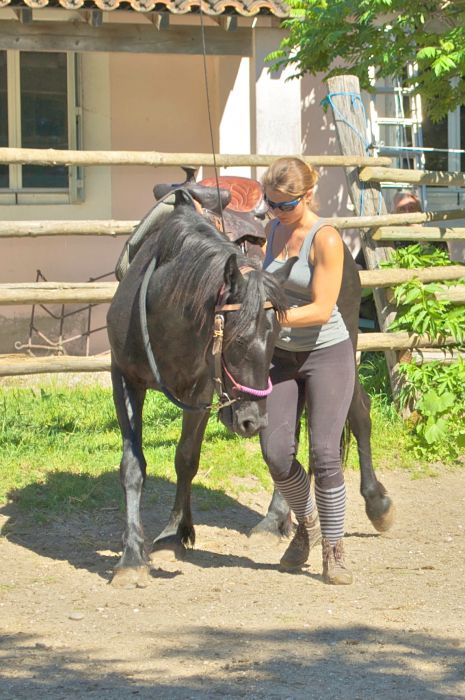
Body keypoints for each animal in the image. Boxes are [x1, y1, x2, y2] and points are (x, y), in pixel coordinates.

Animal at [106, 190, 292, 584]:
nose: (252, 422)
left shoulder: (202, 394)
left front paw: (175, 533)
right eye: (238, 340)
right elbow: (134, 465)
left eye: (274, 340)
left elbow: (186, 458)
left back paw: (275, 519)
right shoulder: (125, 379)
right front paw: (133, 556)